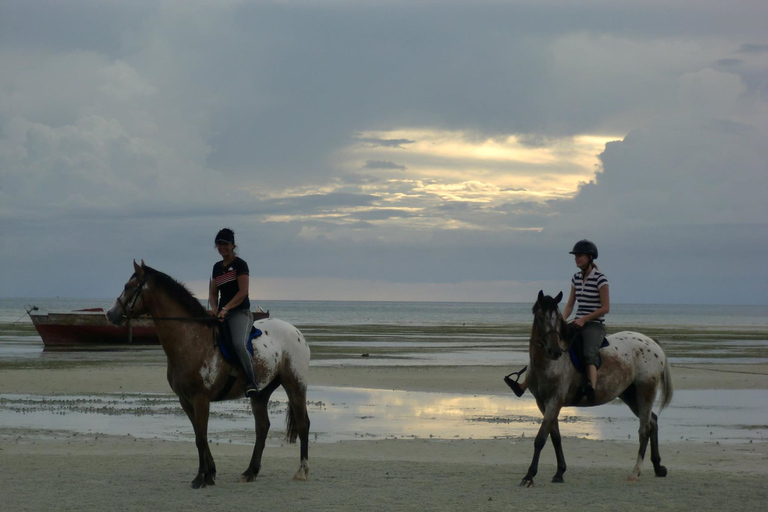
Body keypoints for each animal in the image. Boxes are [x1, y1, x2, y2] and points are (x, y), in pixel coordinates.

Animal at [108, 260, 312, 488]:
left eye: (128, 286)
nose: (110, 314)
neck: (190, 338)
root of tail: (296, 332)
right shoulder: (185, 400)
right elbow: (200, 436)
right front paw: (210, 473)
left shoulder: (200, 398)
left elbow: (201, 438)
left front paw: (200, 477)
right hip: (260, 393)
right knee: (262, 428)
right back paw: (250, 472)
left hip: (295, 384)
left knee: (303, 424)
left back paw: (302, 471)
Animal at [516, 292, 672, 488]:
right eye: (539, 317)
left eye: (557, 318)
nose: (554, 351)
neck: (546, 365)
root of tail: (652, 343)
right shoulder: (543, 403)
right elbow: (555, 437)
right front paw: (559, 472)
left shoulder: (555, 401)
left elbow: (541, 438)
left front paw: (529, 476)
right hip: (630, 395)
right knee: (653, 422)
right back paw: (658, 467)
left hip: (645, 391)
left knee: (644, 430)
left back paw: (635, 472)